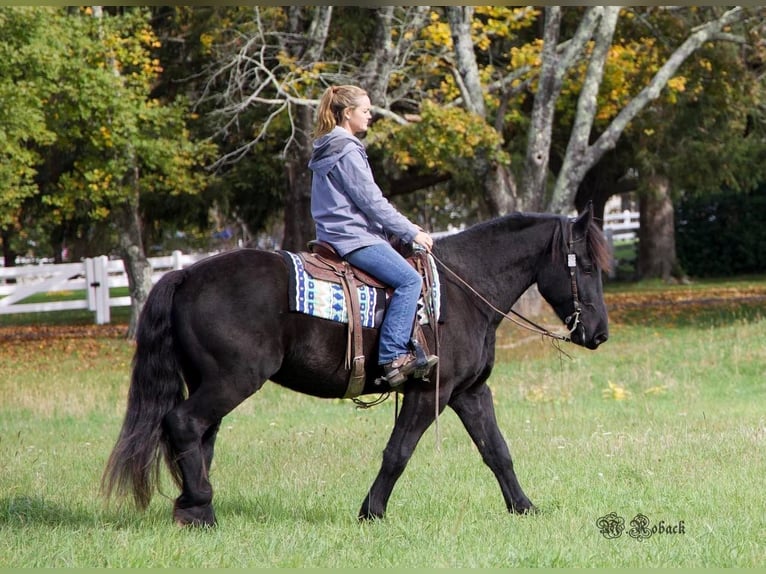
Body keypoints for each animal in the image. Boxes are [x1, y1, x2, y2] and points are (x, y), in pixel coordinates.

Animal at [100, 205, 612, 528]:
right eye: (585, 266)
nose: (600, 333)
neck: (463, 291)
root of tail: (186, 273)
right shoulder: (428, 394)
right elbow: (397, 453)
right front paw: (372, 513)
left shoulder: (469, 392)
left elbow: (497, 452)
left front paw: (524, 508)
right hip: (232, 380)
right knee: (184, 424)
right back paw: (202, 510)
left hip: (210, 382)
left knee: (198, 438)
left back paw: (192, 508)